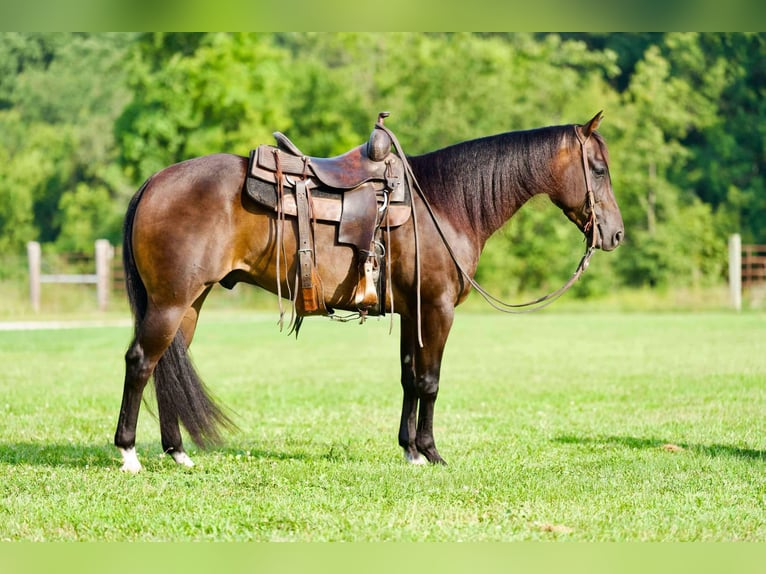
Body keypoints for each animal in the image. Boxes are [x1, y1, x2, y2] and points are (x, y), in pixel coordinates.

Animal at [114, 111, 623, 472]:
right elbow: (430, 381)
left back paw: (178, 452)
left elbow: (408, 378)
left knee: (165, 365)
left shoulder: (412, 312)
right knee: (140, 363)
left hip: (189, 304)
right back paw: (129, 454)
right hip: (170, 303)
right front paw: (431, 452)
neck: (444, 204)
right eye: (598, 169)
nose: (614, 234)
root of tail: (155, 181)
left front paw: (410, 450)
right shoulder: (436, 309)